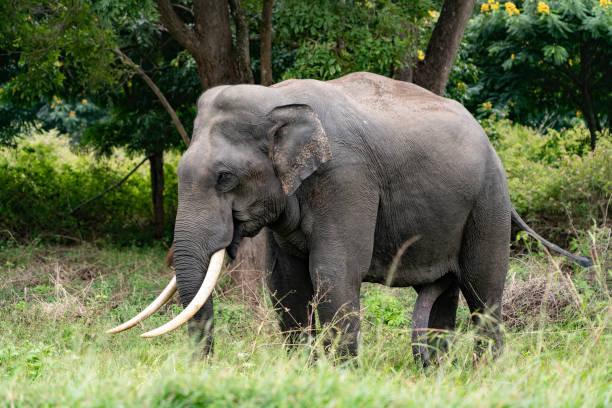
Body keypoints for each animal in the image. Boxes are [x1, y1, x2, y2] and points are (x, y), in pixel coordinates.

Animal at [107, 71, 592, 364]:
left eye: (225, 178)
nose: (205, 365)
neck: (278, 98)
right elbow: (286, 279)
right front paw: (302, 369)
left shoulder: (346, 178)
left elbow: (334, 270)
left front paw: (339, 374)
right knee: (446, 291)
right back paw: (435, 370)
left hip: (488, 202)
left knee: (482, 287)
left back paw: (481, 372)